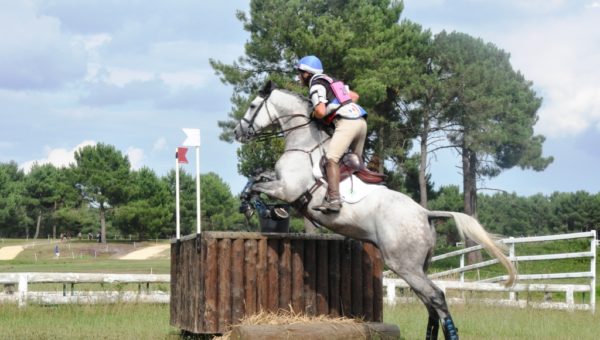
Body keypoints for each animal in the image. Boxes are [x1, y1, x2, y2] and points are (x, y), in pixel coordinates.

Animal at [234, 82, 516, 340]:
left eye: (252, 106)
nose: (238, 132)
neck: (303, 144)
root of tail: (425, 213)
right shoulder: (280, 182)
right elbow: (257, 176)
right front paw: (252, 203)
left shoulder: (287, 189)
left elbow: (259, 184)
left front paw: (256, 207)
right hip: (417, 267)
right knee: (430, 303)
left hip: (403, 264)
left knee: (436, 297)